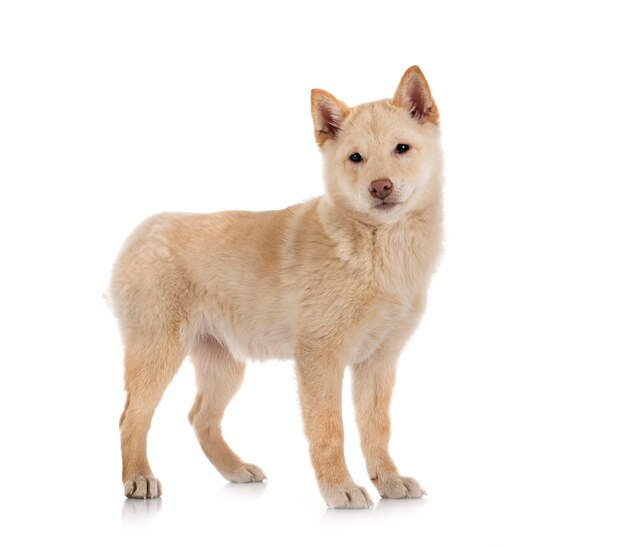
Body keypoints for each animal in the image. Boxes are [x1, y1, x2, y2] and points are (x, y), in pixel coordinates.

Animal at [109, 65, 442, 510]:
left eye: (402, 148)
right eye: (355, 158)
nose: (381, 187)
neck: (373, 247)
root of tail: (145, 229)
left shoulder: (379, 361)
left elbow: (377, 428)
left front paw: (388, 481)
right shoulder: (320, 357)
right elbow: (329, 429)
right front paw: (340, 488)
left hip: (224, 363)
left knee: (201, 418)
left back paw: (235, 469)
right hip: (156, 350)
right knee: (132, 417)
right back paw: (138, 478)